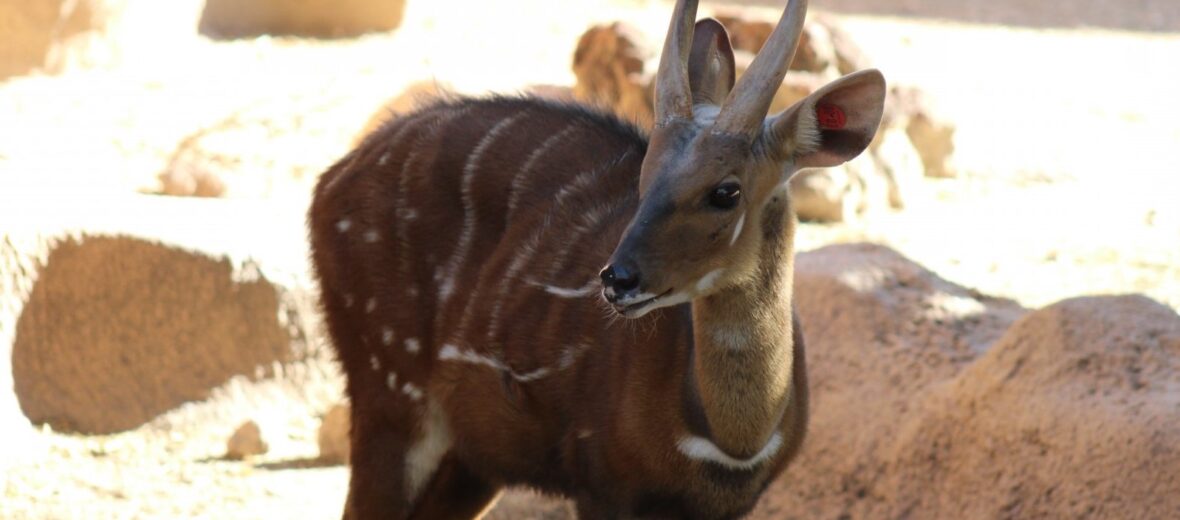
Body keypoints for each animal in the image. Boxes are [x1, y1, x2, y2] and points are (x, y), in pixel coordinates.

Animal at [309, 0, 882, 514]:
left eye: (726, 190)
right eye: (644, 173)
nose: (617, 279)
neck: (731, 441)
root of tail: (331, 179)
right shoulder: (603, 486)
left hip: (472, 459)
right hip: (390, 395)